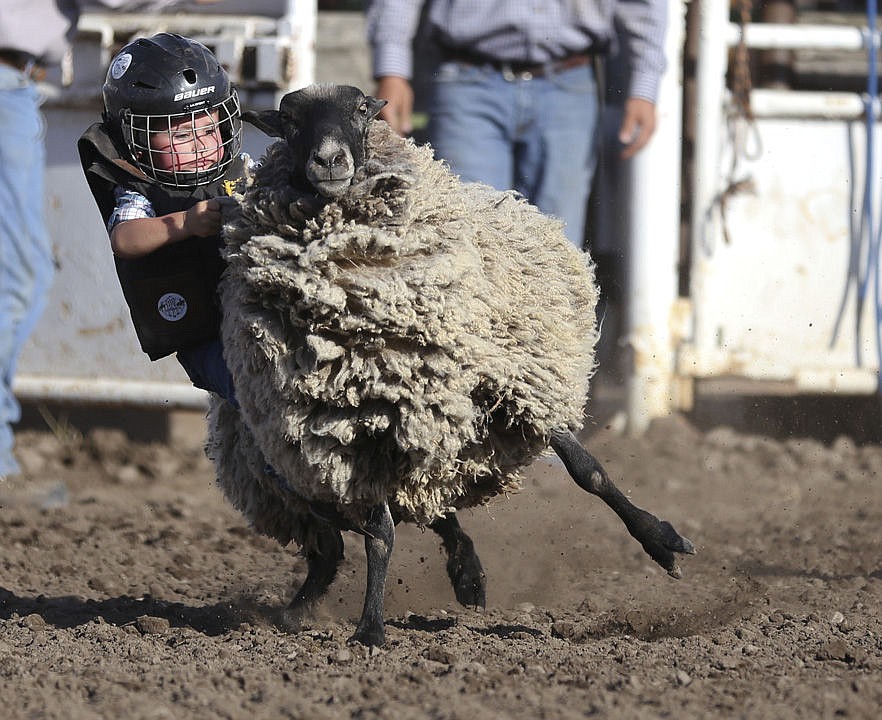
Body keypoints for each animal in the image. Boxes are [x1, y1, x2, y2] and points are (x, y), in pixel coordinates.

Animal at [208, 84, 696, 648]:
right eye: (288, 119)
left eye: (361, 109)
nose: (329, 159)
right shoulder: (353, 432)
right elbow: (380, 534)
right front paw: (370, 629)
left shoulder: (511, 379)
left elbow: (588, 471)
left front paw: (662, 541)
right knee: (370, 525)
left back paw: (464, 574)